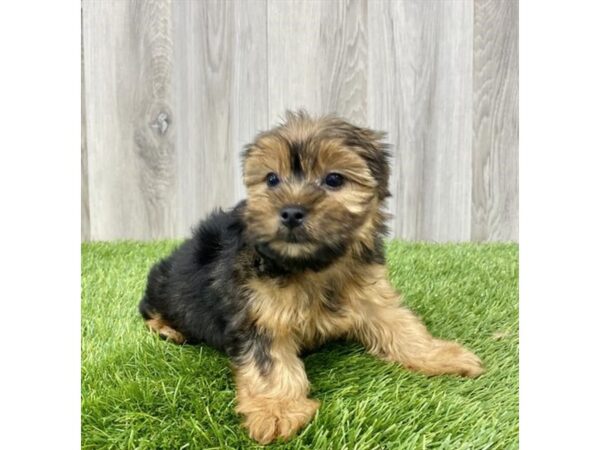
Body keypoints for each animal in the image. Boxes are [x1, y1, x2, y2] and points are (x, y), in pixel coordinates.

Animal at [137, 111, 482, 442]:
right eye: (272, 180)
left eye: (334, 179)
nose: (291, 211)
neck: (311, 266)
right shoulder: (258, 312)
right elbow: (269, 364)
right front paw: (277, 410)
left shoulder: (369, 291)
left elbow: (401, 325)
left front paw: (439, 354)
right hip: (165, 288)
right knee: (150, 310)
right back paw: (168, 329)